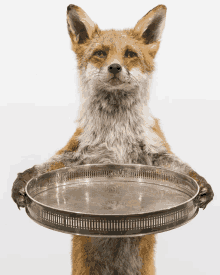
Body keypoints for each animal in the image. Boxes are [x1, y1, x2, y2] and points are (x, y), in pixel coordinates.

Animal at [11, 4, 214, 275]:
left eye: (130, 54)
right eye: (100, 53)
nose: (115, 67)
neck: (116, 130)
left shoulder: (155, 152)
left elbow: (180, 167)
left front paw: (200, 183)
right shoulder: (77, 152)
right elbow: (47, 165)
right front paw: (23, 180)